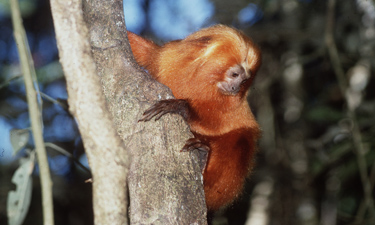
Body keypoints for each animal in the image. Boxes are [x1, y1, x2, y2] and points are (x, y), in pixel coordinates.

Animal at [129, 25, 262, 211]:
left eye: (244, 82)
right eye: (235, 75)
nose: (235, 88)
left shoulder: (232, 105)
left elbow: (217, 123)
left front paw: (180, 107)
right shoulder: (168, 58)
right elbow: (145, 52)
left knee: (242, 140)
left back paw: (204, 161)